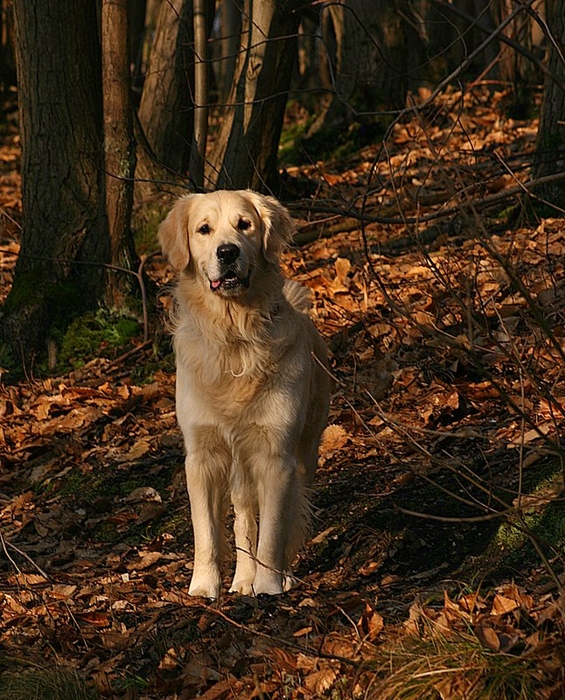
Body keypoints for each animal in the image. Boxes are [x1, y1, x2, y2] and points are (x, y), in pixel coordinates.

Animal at [159, 190, 330, 596]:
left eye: (245, 225)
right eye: (204, 229)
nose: (227, 252)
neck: (234, 336)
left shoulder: (276, 456)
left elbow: (274, 530)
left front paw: (268, 586)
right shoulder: (202, 456)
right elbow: (206, 531)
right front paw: (204, 587)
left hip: (305, 451)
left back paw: (274, 575)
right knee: (243, 521)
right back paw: (241, 579)